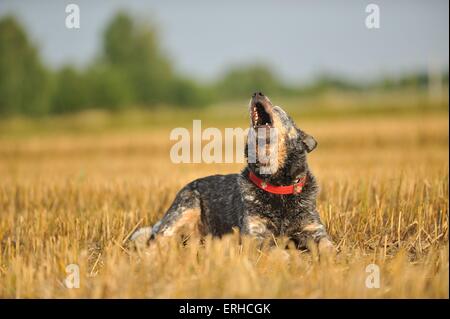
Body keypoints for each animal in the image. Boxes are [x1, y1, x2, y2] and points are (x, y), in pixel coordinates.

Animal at [131, 92, 334, 255]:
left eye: (278, 109)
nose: (257, 92)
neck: (277, 186)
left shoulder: (313, 229)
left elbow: (328, 246)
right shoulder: (255, 234)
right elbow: (274, 250)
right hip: (183, 211)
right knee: (155, 241)